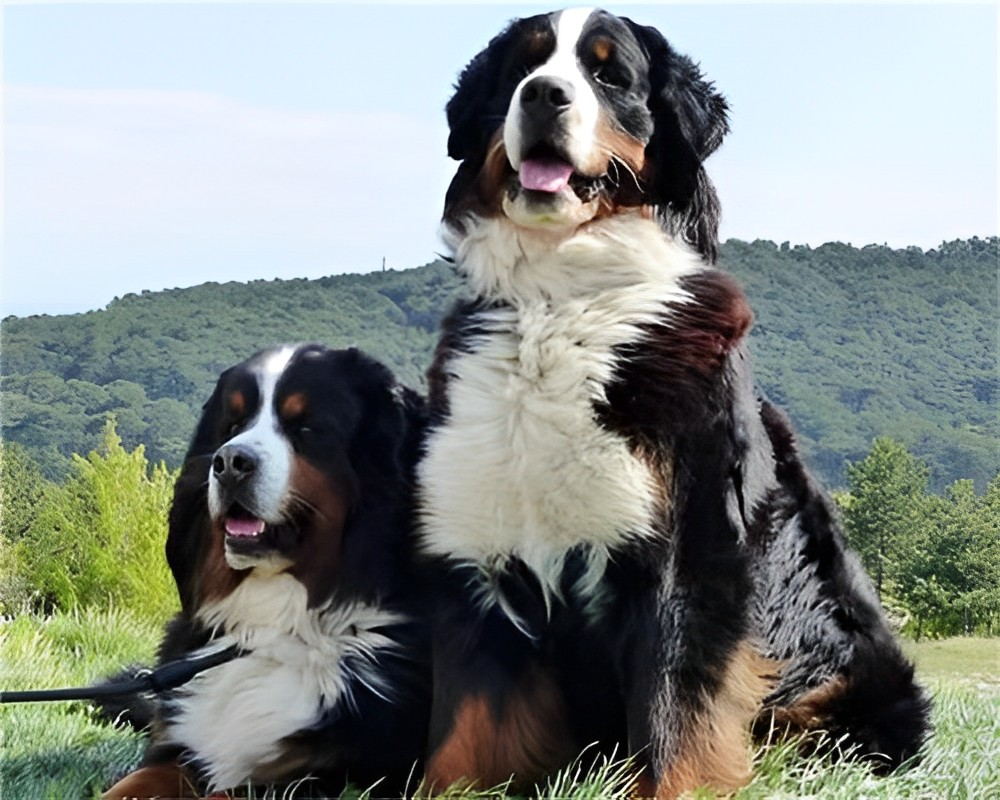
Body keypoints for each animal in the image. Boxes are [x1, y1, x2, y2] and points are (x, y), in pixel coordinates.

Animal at [103, 346, 428, 800]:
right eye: (233, 424)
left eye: (304, 426)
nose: (229, 462)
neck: (272, 625)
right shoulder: (178, 747)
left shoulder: (322, 777)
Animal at [418, 7, 932, 800]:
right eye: (522, 68)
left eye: (608, 74)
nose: (543, 95)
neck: (558, 299)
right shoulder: (483, 540)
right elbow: (464, 736)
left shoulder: (690, 549)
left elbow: (675, 713)